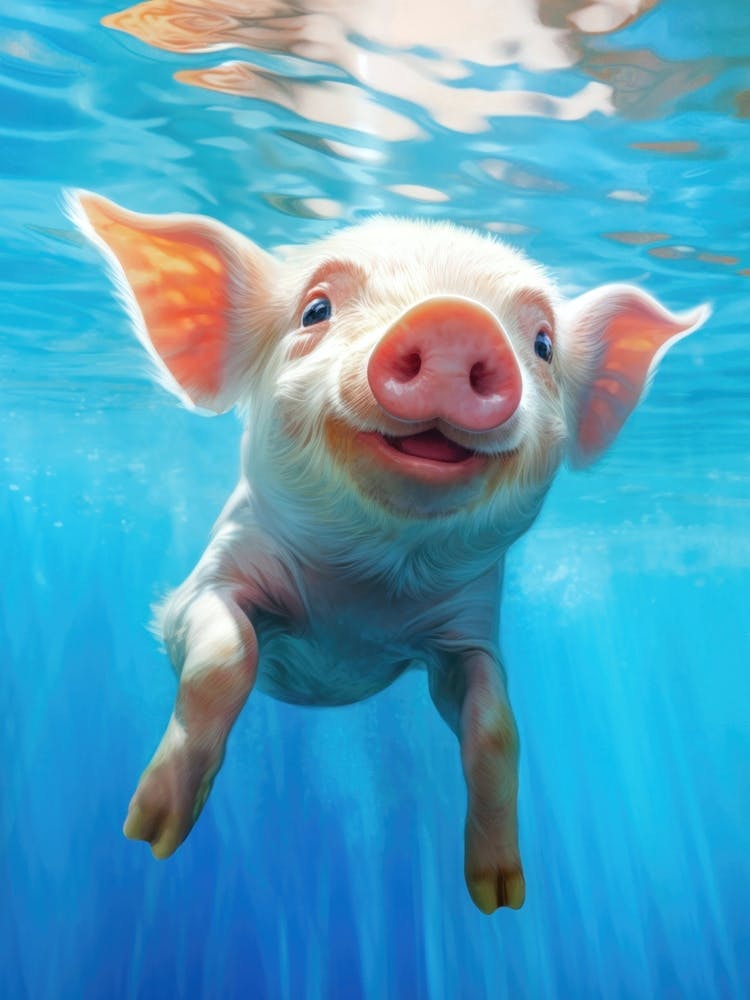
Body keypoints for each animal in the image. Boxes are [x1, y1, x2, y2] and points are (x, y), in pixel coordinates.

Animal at [71, 191, 709, 912]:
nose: (455, 319)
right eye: (316, 309)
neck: (366, 593)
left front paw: (499, 896)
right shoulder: (209, 581)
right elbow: (223, 658)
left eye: (544, 345)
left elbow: (497, 728)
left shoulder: (469, 632)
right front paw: (148, 831)